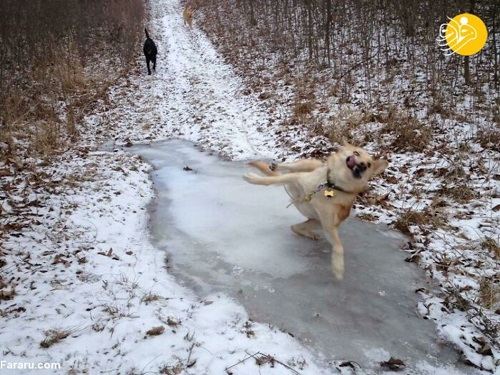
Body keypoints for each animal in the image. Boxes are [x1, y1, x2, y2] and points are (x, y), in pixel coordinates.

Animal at [244, 142, 388, 280]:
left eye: (369, 164)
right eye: (356, 153)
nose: (363, 165)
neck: (331, 186)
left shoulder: (329, 226)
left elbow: (339, 247)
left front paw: (338, 267)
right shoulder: (296, 178)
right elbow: (270, 180)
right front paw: (254, 179)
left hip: (316, 222)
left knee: (294, 227)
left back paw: (309, 234)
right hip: (306, 165)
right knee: (290, 167)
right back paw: (277, 166)